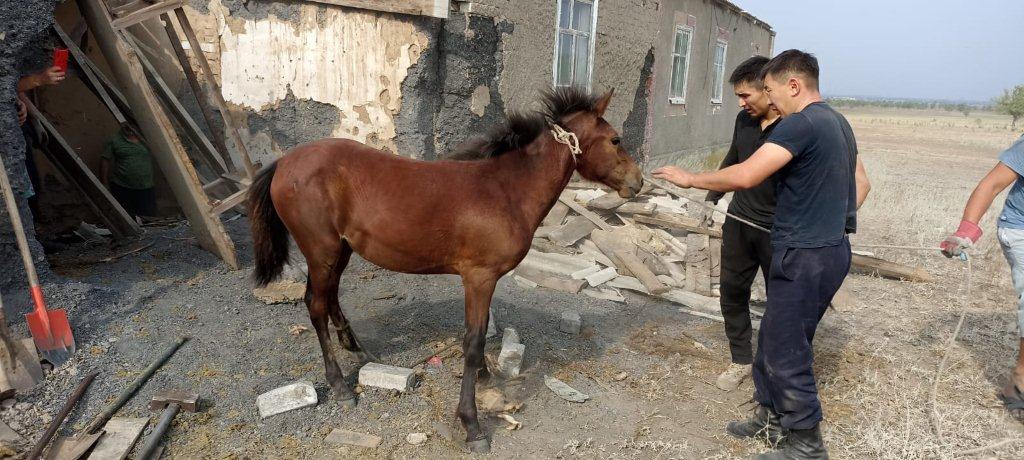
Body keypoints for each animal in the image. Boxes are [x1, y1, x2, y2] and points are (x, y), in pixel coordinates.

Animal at [249, 87, 638, 450]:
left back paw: (356, 349)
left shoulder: (481, 280)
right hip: (322, 251)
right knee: (316, 306)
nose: (638, 182)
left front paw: (484, 376)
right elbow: (474, 340)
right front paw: (472, 425)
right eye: (615, 139)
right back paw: (340, 386)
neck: (505, 190)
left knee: (327, 296)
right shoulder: (479, 277)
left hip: (338, 251)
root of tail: (283, 163)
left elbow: (479, 335)